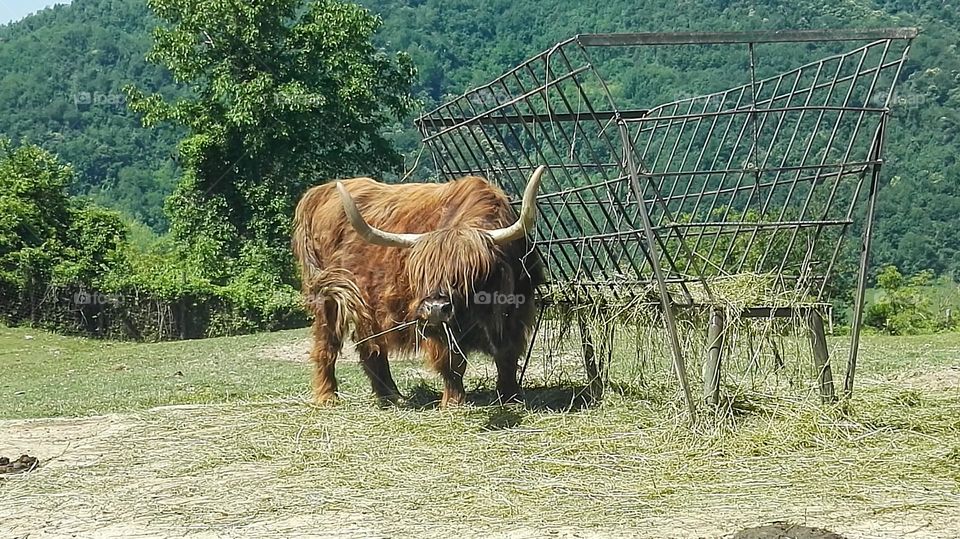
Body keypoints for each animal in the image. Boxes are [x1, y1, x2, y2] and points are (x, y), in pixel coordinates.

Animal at [291, 166, 547, 407]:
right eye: (421, 274)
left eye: (467, 273)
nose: (435, 307)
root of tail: (318, 193)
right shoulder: (435, 326)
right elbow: (452, 363)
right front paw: (453, 402)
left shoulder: (518, 309)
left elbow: (507, 356)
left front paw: (511, 395)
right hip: (328, 295)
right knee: (327, 343)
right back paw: (327, 396)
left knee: (370, 347)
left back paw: (390, 396)